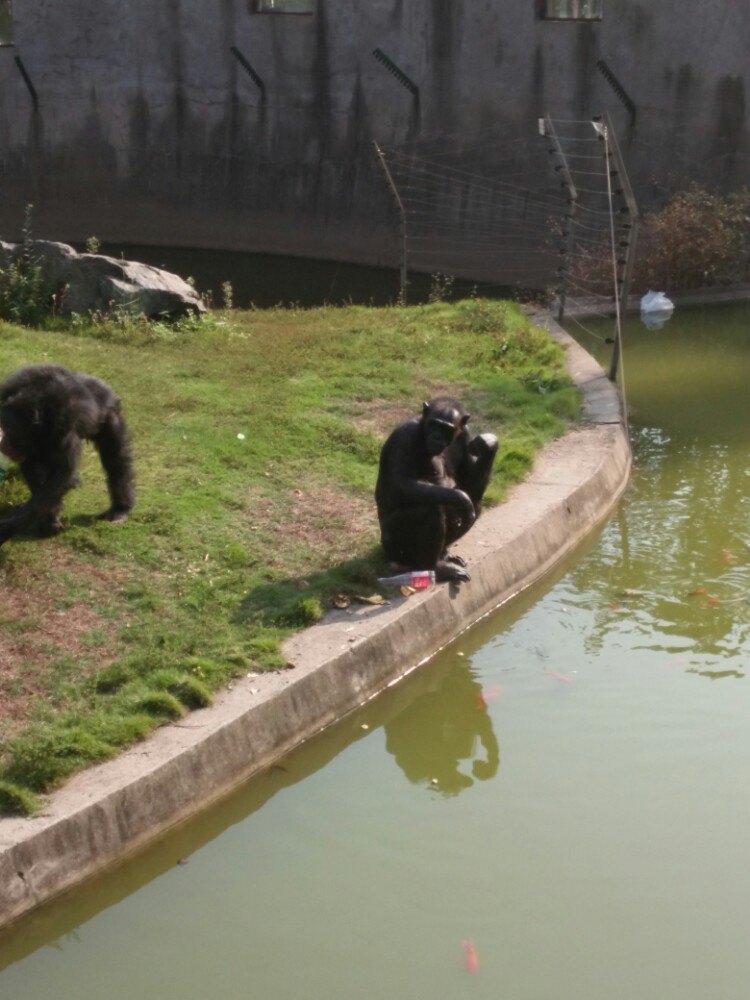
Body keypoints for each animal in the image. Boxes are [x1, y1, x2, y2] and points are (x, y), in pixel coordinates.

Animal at [0, 364, 134, 544]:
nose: (5, 443)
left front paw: (6, 529)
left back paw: (120, 509)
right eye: (4, 425)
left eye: (12, 432)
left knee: (116, 460)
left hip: (111, 417)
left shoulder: (64, 428)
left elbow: (64, 477)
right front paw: (49, 519)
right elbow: (36, 473)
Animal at [376, 394, 500, 584]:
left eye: (446, 428)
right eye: (434, 424)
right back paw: (436, 567)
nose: (436, 436)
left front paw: (488, 443)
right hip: (392, 544)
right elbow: (400, 483)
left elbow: (471, 482)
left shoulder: (466, 434)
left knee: (476, 503)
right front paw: (460, 498)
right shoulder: (405, 436)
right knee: (431, 509)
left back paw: (446, 556)